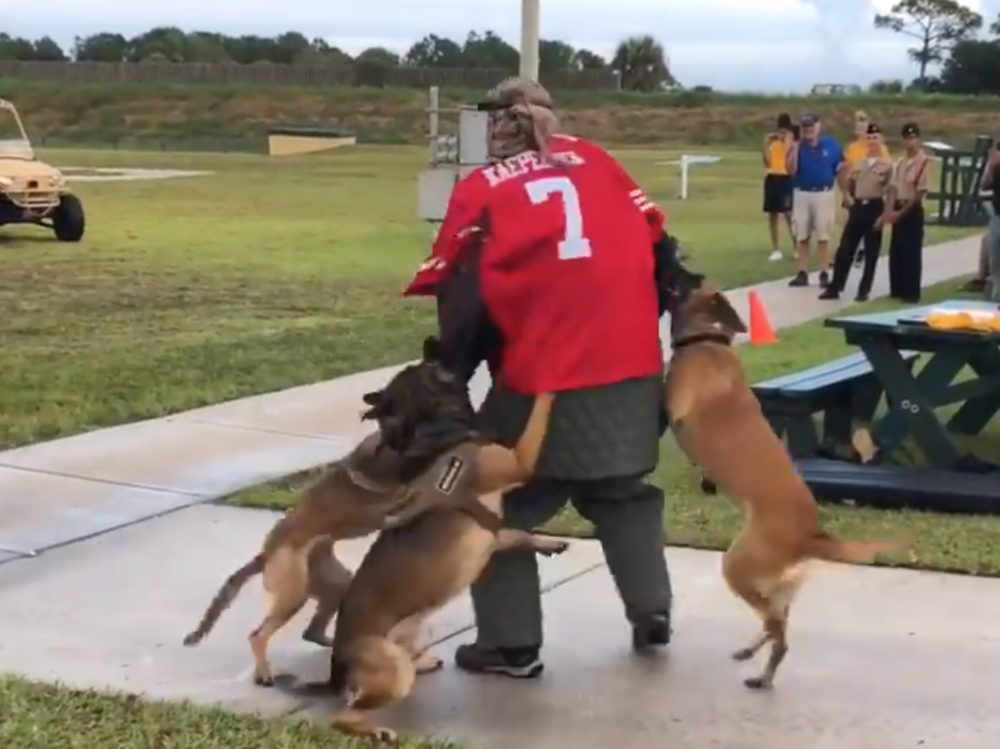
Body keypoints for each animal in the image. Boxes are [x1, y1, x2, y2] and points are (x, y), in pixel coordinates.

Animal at [324, 338, 568, 744]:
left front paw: (549, 543)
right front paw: (548, 385)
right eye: (431, 363)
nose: (432, 339)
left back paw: (423, 661)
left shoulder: (495, 534)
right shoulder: (519, 461)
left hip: (415, 636)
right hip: (391, 672)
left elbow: (519, 533)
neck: (434, 427)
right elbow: (538, 418)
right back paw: (376, 730)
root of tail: (337, 665)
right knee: (343, 715)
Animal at [668, 282, 912, 688]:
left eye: (688, 283)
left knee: (777, 629)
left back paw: (762, 673)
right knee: (776, 622)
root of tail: (811, 535)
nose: (671, 274)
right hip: (771, 582)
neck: (708, 339)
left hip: (739, 566)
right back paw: (754, 655)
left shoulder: (676, 405)